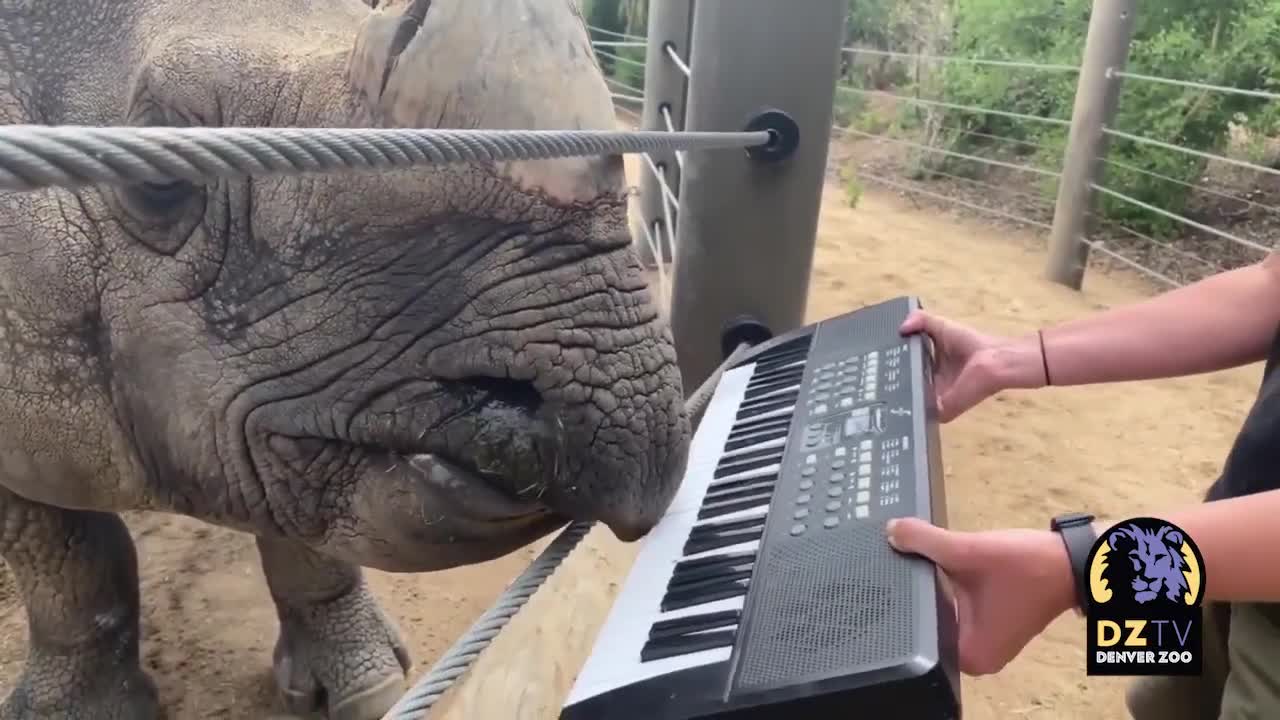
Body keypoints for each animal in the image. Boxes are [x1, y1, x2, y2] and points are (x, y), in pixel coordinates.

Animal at [0, 1, 696, 717]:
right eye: (158, 183)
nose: (634, 423)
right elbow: (65, 549)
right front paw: (82, 712)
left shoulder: (293, 416)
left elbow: (304, 522)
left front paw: (366, 688)